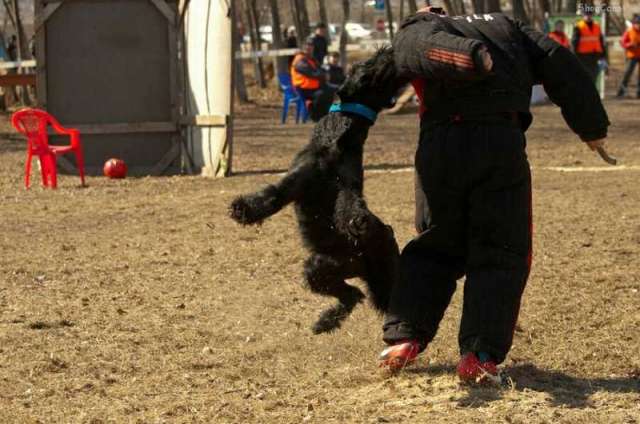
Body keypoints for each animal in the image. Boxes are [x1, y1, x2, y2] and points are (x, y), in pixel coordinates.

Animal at [232, 48, 408, 334]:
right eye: (367, 65)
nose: (390, 50)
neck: (334, 144)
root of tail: (358, 265)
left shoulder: (348, 184)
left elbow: (350, 204)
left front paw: (359, 221)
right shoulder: (296, 179)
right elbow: (270, 197)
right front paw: (243, 209)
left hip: (377, 273)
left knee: (364, 295)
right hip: (319, 269)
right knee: (352, 295)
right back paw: (326, 321)